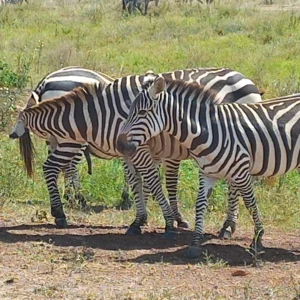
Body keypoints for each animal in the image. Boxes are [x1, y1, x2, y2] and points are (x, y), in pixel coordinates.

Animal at [24, 66, 115, 206]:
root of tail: (44, 82)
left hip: (52, 136)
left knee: (58, 165)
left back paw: (66, 196)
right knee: (69, 166)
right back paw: (77, 197)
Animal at [116, 77, 300, 258]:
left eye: (142, 112)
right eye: (130, 111)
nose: (119, 145)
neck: (210, 131)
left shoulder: (241, 171)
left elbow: (250, 203)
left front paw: (258, 239)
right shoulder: (206, 174)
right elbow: (200, 205)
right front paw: (195, 243)